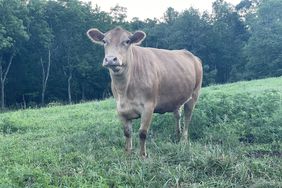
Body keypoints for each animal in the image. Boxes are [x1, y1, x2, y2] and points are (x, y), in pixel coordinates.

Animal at [86, 27, 203, 157]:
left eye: (127, 41)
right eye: (104, 41)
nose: (111, 59)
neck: (124, 90)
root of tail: (191, 55)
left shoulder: (148, 106)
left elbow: (142, 132)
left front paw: (143, 155)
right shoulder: (120, 109)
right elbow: (127, 132)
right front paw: (127, 153)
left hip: (194, 94)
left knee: (188, 117)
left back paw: (183, 139)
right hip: (176, 98)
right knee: (177, 115)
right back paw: (177, 134)